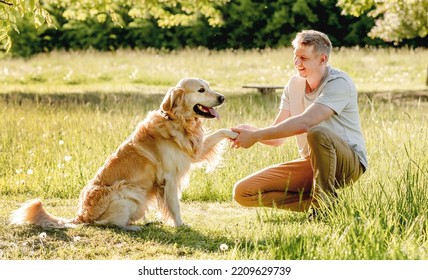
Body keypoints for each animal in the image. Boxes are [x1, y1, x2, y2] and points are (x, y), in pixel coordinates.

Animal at [10, 77, 237, 231]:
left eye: (209, 87)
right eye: (201, 90)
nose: (222, 97)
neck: (176, 121)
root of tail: (80, 215)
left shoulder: (192, 152)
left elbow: (220, 132)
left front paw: (235, 133)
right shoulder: (169, 178)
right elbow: (175, 206)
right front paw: (180, 225)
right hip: (127, 192)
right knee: (106, 223)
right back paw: (133, 226)